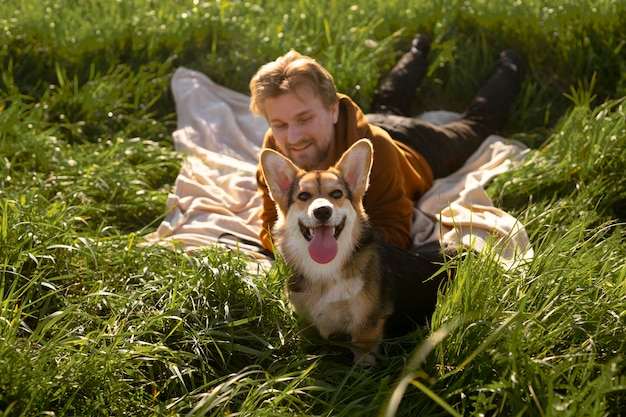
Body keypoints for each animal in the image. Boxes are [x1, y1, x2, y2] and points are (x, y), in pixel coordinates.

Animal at [258, 137, 448, 364]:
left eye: (337, 194)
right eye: (303, 196)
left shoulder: (366, 326)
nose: (322, 211)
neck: (325, 270)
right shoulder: (305, 322)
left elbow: (362, 355)